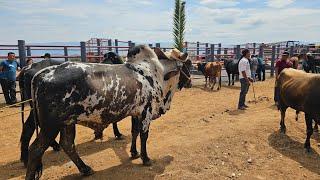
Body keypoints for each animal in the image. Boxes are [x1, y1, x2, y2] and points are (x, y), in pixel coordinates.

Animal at [25, 45, 190, 179]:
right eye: (187, 65)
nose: (189, 82)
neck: (157, 74)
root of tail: (41, 74)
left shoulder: (136, 113)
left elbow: (134, 132)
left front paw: (134, 152)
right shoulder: (146, 112)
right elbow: (144, 135)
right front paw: (145, 158)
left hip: (67, 123)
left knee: (68, 144)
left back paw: (85, 169)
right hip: (50, 126)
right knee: (35, 150)